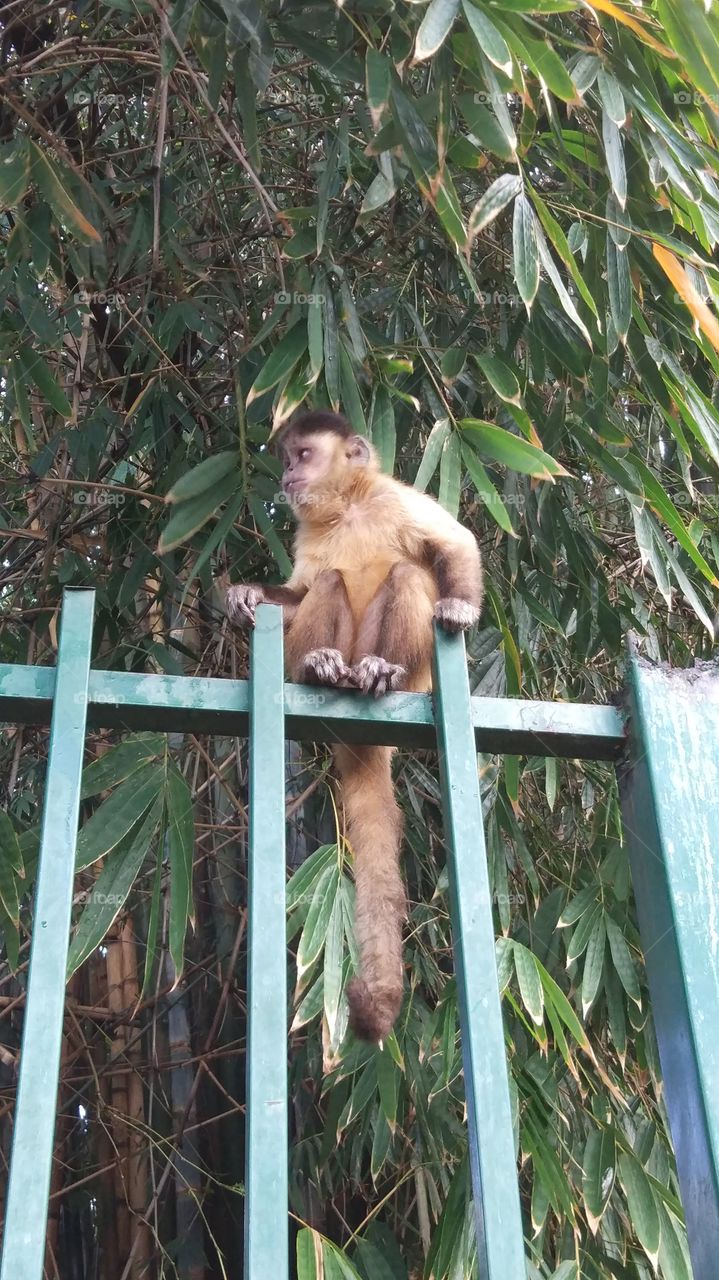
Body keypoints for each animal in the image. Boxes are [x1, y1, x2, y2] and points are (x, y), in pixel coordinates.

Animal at [226, 410, 483, 1043]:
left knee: (407, 575)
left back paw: (380, 672)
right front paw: (245, 594)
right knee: (328, 585)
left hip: (414, 671)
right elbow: (298, 593)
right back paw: (321, 670)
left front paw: (461, 608)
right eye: (287, 458)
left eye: (303, 455)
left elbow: (454, 544)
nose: (287, 476)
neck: (347, 508)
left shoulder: (394, 497)